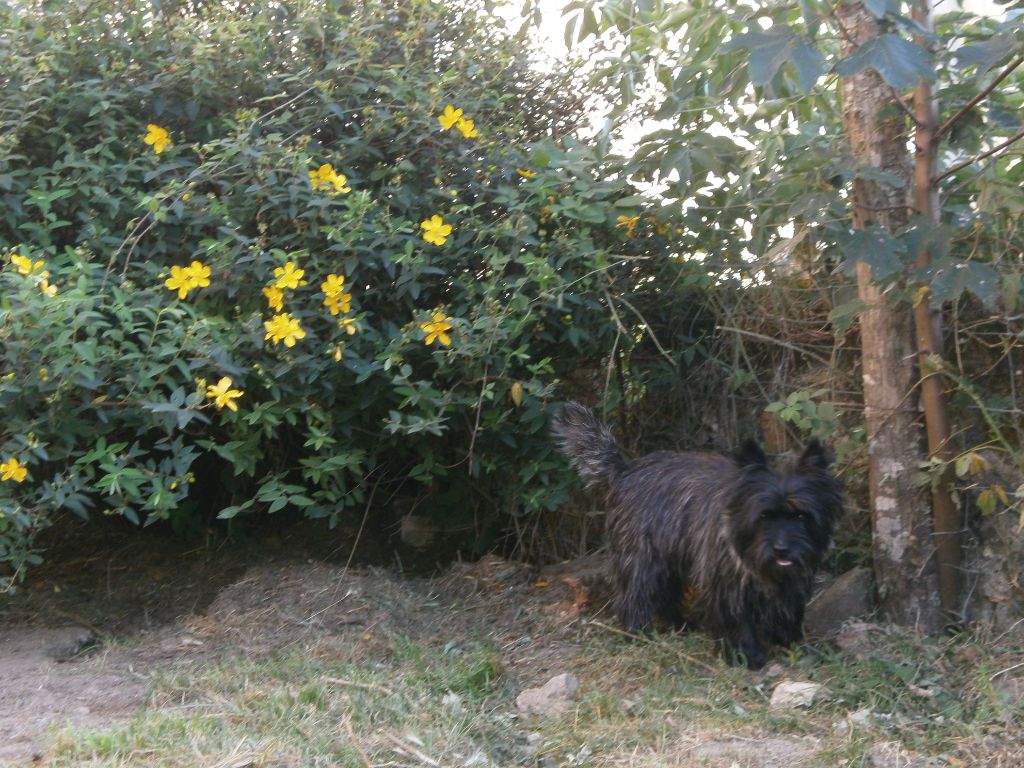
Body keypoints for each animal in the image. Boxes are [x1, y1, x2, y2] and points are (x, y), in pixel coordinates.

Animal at [557, 403, 843, 667]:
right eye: (764, 516)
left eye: (801, 516)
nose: (782, 549)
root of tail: (624, 471)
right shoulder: (725, 586)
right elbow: (737, 622)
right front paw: (746, 656)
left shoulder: (792, 582)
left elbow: (788, 611)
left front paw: (789, 642)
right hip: (643, 560)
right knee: (635, 597)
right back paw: (639, 634)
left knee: (666, 595)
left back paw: (679, 624)